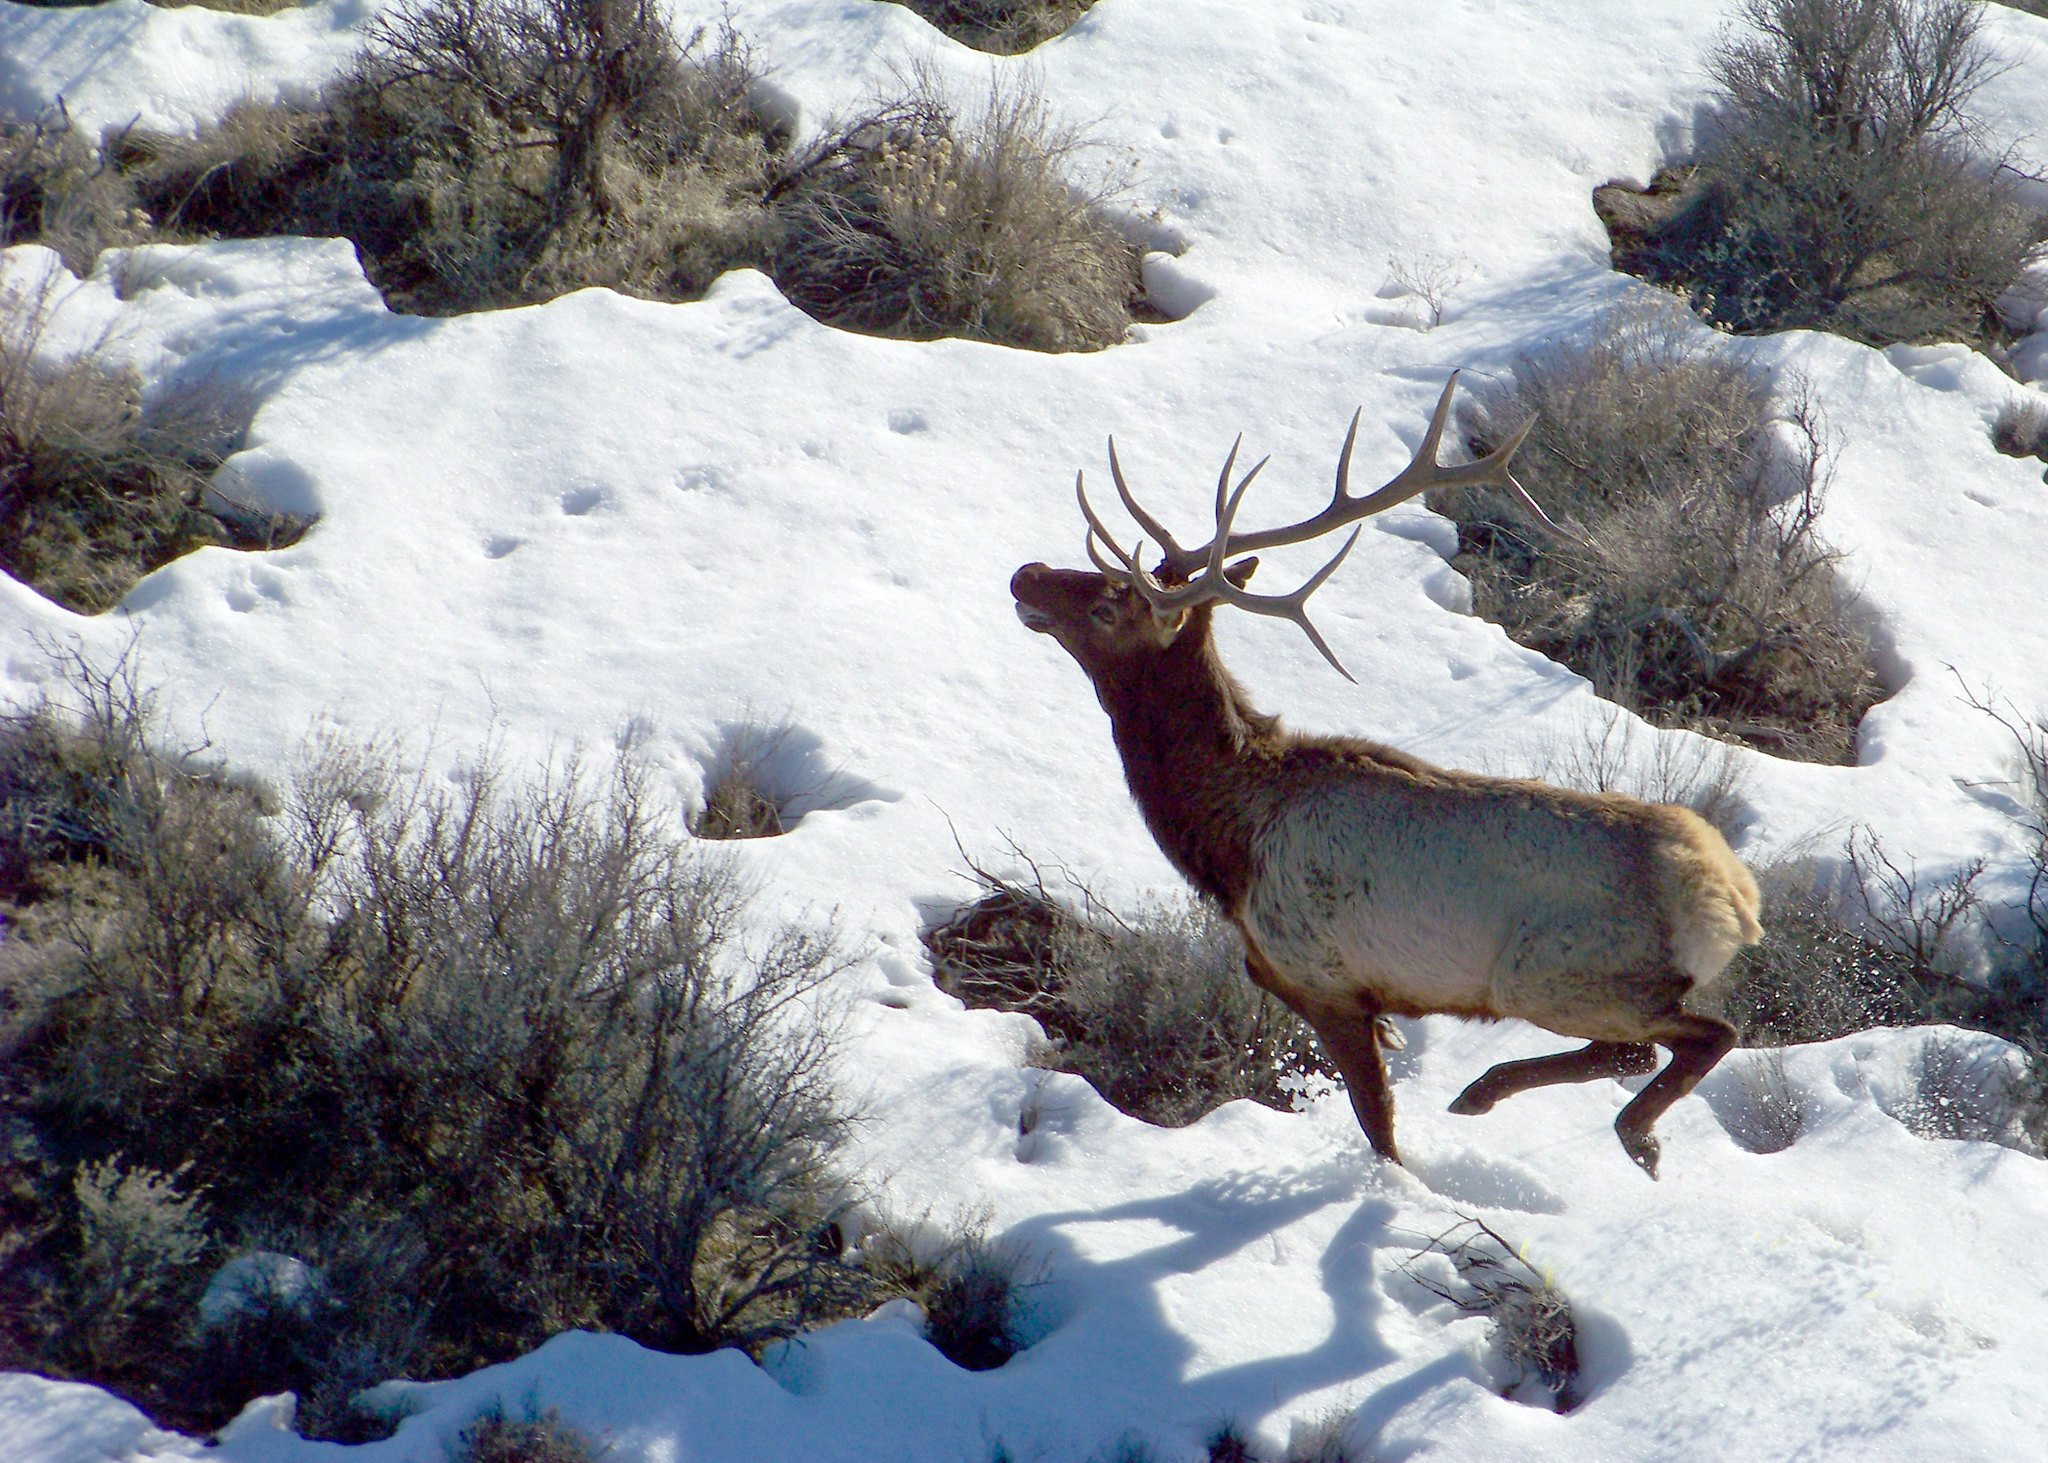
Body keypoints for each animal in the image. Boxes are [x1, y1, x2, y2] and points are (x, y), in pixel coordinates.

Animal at [1010, 375, 1763, 1178]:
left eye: (1106, 604)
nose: (1027, 573)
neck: (1227, 840)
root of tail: (1731, 898)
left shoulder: (1325, 978)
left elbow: (1380, 1128)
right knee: (1635, 1049)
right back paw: (1496, 1097)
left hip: (1552, 974)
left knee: (1694, 1036)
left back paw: (1614, 1126)